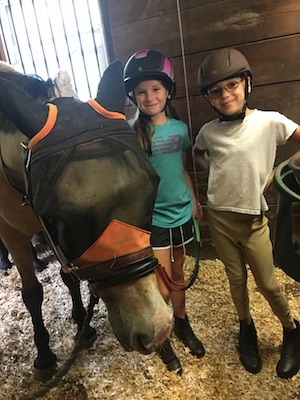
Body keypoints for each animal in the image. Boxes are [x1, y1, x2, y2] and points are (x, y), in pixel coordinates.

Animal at [0, 61, 172, 380]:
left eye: (152, 188)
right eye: (60, 216)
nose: (157, 328)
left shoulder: (58, 242)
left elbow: (68, 277)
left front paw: (82, 321)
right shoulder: (14, 233)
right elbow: (32, 293)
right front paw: (44, 355)